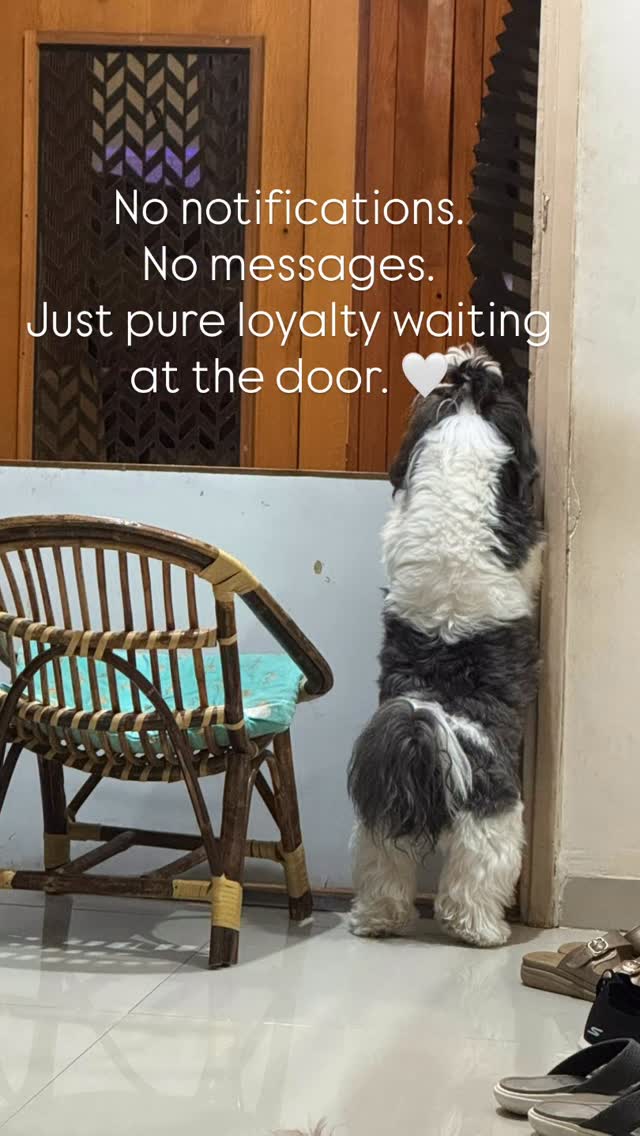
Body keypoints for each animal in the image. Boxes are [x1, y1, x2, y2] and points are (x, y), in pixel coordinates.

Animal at [348, 345, 543, 947]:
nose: (472, 362)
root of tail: (427, 731)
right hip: (492, 826)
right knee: (472, 886)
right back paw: (484, 931)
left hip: (378, 815)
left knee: (384, 873)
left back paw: (374, 920)